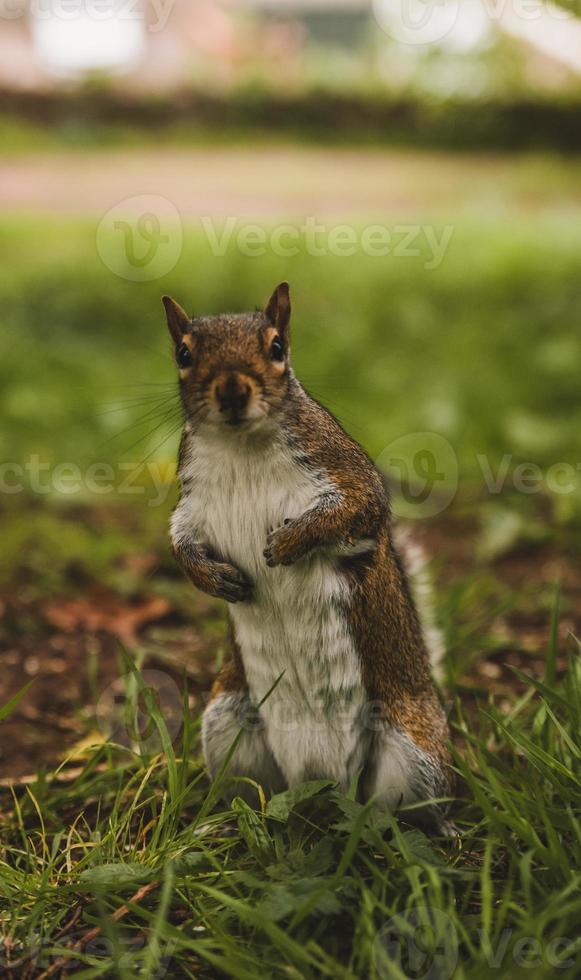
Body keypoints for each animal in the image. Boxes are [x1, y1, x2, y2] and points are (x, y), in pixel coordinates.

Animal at [163, 282, 454, 828]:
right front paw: (212, 577)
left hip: (413, 748)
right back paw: (237, 819)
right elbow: (179, 542)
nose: (232, 391)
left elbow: (357, 511)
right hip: (227, 720)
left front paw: (290, 542)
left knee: (404, 809)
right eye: (183, 354)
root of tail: (322, 781)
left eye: (278, 347)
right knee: (255, 790)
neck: (241, 447)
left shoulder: (343, 471)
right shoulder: (192, 503)